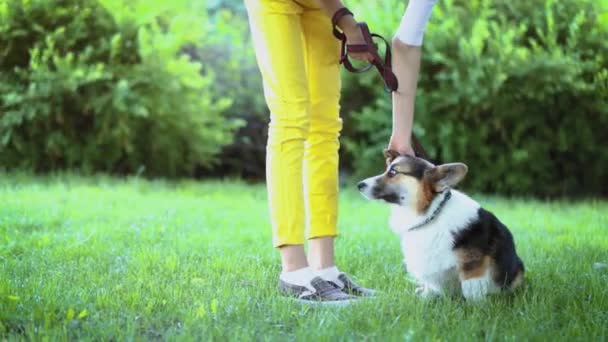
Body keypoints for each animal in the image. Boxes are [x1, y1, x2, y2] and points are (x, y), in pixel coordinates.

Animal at [358, 151, 524, 300]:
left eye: (393, 172)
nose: (359, 185)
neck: (430, 214)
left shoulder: (472, 267)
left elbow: (471, 292)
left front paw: (475, 309)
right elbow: (430, 287)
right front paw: (425, 296)